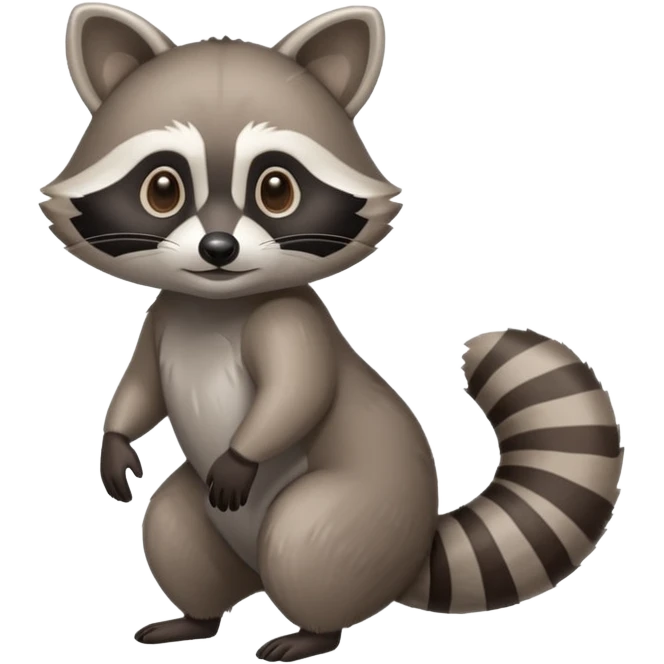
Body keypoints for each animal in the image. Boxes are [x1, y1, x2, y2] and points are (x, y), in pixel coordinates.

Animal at [40, 2, 624, 660]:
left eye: (276, 188)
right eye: (162, 188)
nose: (218, 249)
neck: (218, 304)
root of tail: (409, 553)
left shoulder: (288, 318)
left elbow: (299, 392)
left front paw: (243, 452)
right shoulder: (167, 312)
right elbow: (140, 387)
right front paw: (114, 442)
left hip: (357, 515)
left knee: (305, 540)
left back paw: (312, 631)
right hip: (216, 522)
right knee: (170, 526)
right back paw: (195, 620)